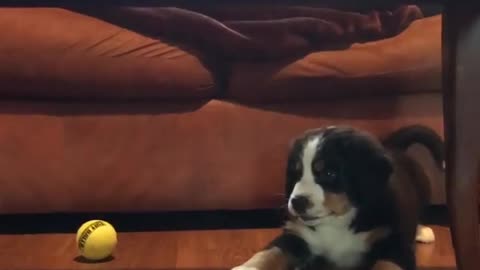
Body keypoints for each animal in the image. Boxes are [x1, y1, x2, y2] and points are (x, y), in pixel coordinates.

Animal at [232, 125, 442, 270]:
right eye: (296, 173)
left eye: (330, 173)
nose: (297, 202)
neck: (336, 222)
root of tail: (394, 148)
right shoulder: (296, 235)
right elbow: (271, 252)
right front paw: (246, 267)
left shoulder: (395, 246)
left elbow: (386, 265)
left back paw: (422, 231)